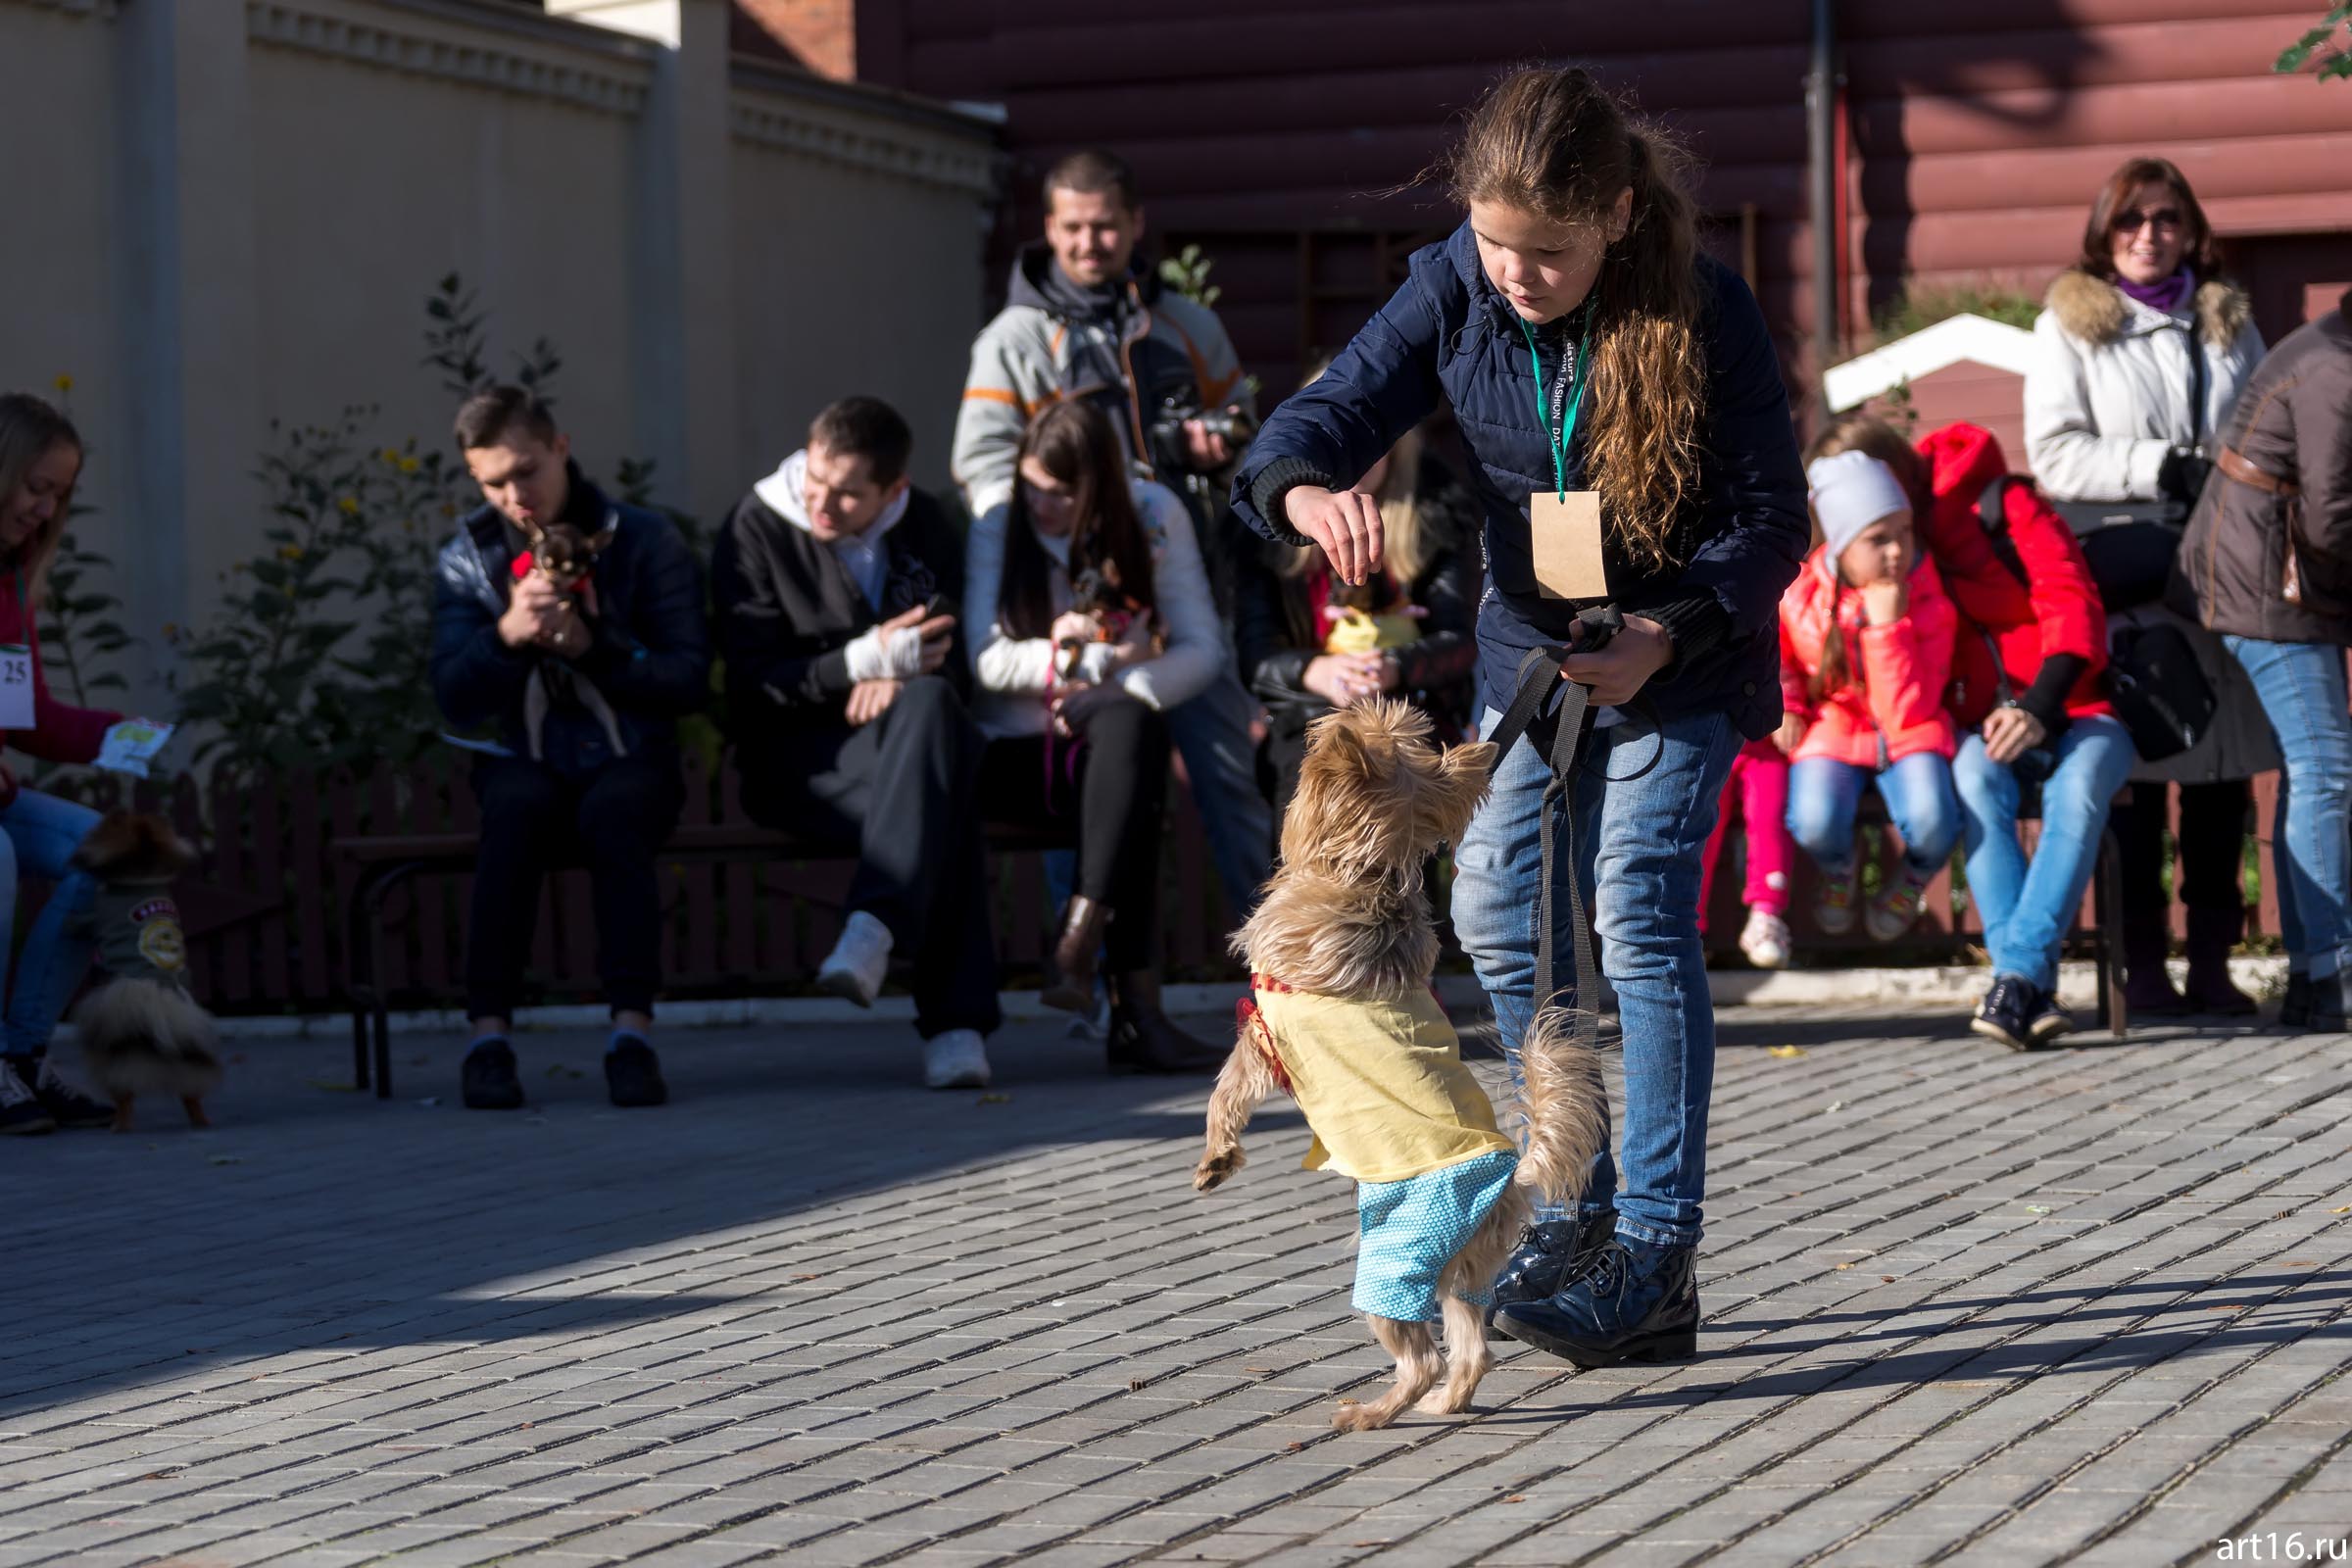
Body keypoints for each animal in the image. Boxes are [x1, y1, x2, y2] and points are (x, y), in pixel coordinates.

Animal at [64, 817, 219, 1133]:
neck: (142, 870)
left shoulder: (96, 916)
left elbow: (82, 921)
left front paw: (69, 921)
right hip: (190, 1069)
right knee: (191, 1097)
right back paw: (201, 1121)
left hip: (113, 1068)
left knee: (124, 1098)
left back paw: (118, 1125)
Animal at [1185, 705, 1608, 1429]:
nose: (1331, 713)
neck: (1365, 880)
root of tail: (1512, 1181)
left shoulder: (1265, 1031)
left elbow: (1225, 1091)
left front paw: (1216, 1159)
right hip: (1460, 1275)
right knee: (1470, 1349)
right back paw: (1444, 1404)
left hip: (1395, 1259)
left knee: (1422, 1354)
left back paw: (1373, 1412)